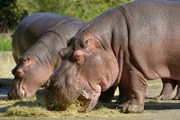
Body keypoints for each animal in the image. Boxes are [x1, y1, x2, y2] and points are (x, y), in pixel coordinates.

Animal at [45, 0, 180, 112]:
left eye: (78, 57)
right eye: (61, 52)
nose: (50, 85)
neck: (108, 44)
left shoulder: (135, 66)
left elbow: (136, 86)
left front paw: (130, 109)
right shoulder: (125, 66)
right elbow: (127, 87)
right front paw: (122, 106)